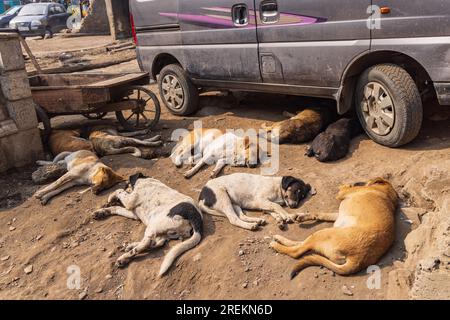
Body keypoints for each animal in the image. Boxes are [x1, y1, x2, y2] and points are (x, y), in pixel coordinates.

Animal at [270, 176, 398, 278]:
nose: (358, 181)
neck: (387, 193)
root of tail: (358, 259)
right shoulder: (339, 216)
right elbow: (321, 214)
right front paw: (302, 217)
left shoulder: (343, 194)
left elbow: (343, 188)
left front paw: (347, 184)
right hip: (327, 233)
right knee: (301, 244)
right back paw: (279, 238)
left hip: (323, 234)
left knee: (297, 251)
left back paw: (275, 245)